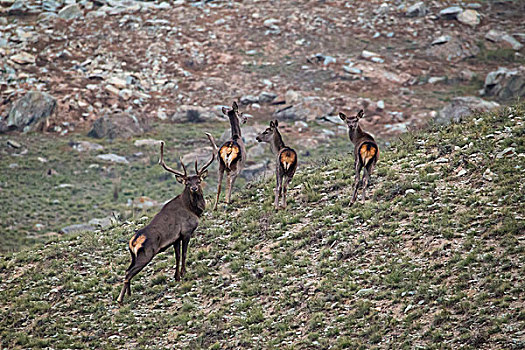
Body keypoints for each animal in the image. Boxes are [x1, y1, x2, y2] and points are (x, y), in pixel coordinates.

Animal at [117, 134, 215, 304]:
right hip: (146, 254)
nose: (194, 188)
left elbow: (177, 256)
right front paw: (184, 273)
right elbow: (184, 254)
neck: (193, 210)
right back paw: (120, 299)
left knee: (127, 269)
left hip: (133, 256)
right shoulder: (186, 232)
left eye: (199, 180)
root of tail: (133, 242)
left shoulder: (175, 238)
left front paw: (176, 277)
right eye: (187, 182)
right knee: (128, 273)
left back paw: (129, 295)